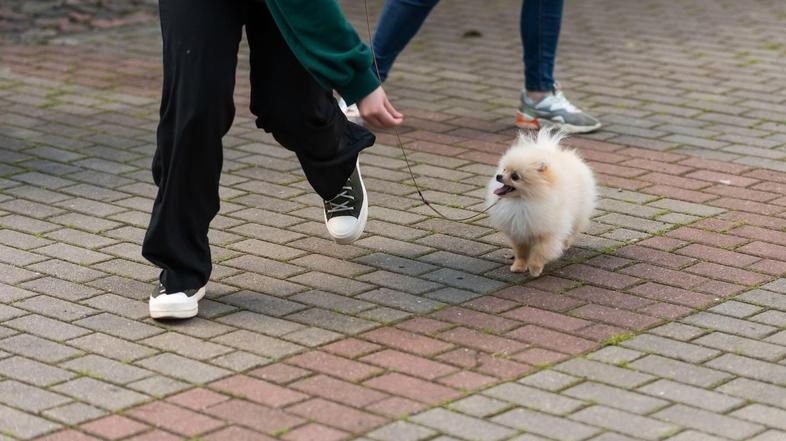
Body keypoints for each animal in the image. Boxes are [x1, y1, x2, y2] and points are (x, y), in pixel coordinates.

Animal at [484, 129, 596, 276]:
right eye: (504, 169)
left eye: (515, 176)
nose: (498, 176)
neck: (522, 201)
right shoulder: (519, 232)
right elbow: (521, 253)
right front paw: (519, 266)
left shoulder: (546, 233)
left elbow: (540, 252)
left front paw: (535, 269)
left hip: (578, 213)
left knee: (572, 230)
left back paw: (565, 244)